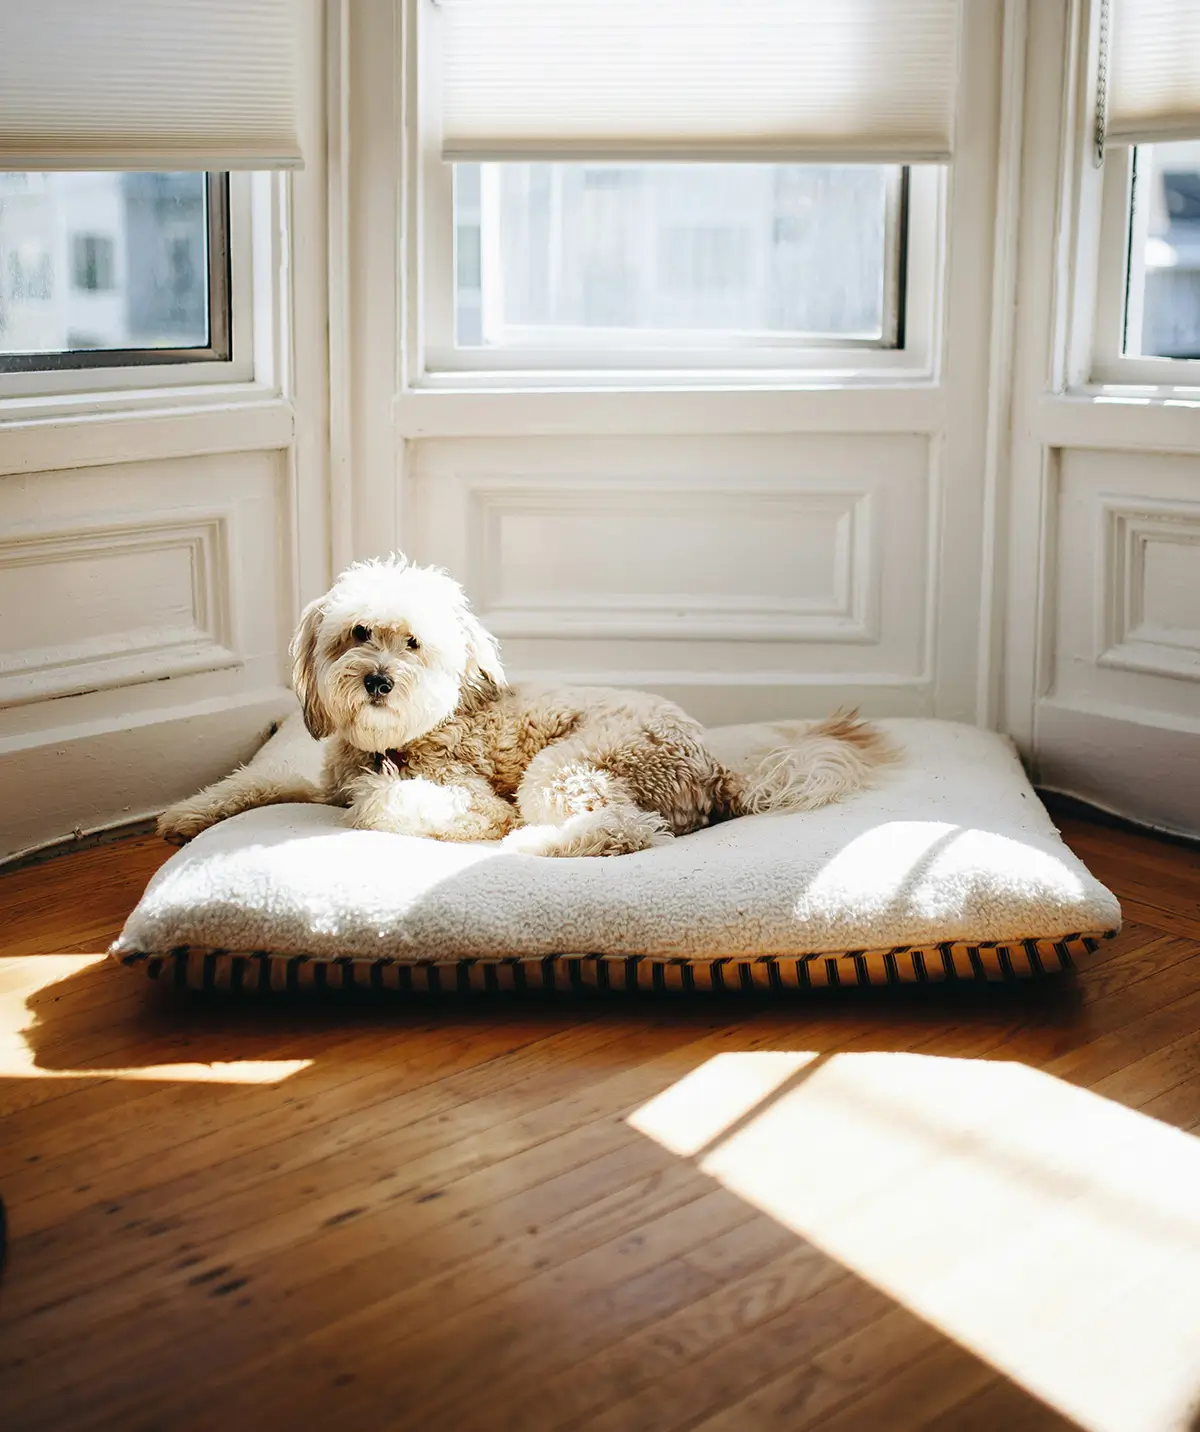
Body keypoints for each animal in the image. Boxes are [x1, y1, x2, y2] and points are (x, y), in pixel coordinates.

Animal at [157, 552, 893, 853]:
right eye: (358, 633)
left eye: (414, 643)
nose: (379, 681)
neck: (393, 741)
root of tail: (716, 768)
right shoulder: (317, 782)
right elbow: (258, 782)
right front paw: (187, 814)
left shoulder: (469, 798)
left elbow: (384, 804)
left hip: (568, 766)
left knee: (626, 830)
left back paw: (535, 844)